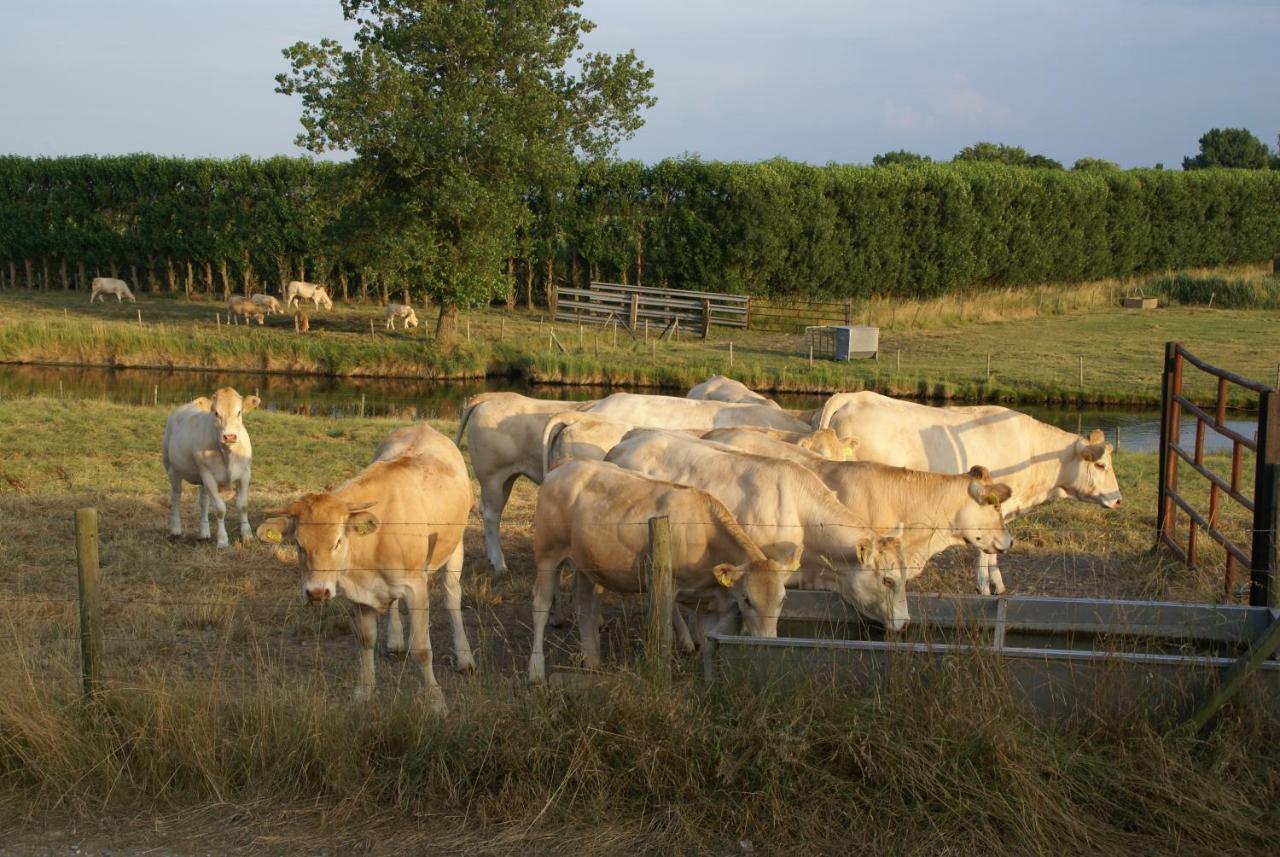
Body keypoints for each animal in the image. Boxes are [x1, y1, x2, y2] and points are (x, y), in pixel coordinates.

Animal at [161, 388, 258, 550]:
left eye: (239, 412)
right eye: (216, 413)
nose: (230, 436)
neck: (228, 454)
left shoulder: (245, 472)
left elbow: (243, 505)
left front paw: (247, 535)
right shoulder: (208, 475)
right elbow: (219, 509)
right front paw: (223, 540)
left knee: (203, 501)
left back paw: (204, 532)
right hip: (171, 468)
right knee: (176, 496)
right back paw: (175, 529)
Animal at [257, 422, 478, 711]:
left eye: (338, 542)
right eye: (298, 544)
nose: (317, 592)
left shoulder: (416, 586)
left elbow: (421, 647)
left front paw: (435, 700)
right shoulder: (359, 593)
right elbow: (365, 641)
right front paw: (365, 691)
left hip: (455, 547)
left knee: (452, 597)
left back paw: (464, 657)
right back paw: (395, 641)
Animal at [819, 391, 1121, 598]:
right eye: (1101, 465)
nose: (1118, 498)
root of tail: (853, 396)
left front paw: (996, 584)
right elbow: (986, 552)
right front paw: (985, 588)